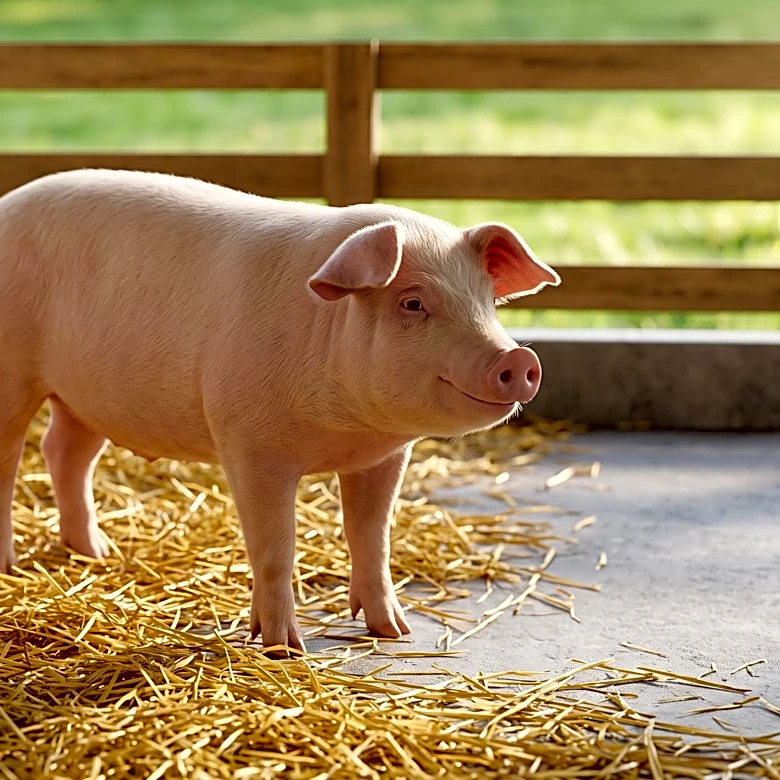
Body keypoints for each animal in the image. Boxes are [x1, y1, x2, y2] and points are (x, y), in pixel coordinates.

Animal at [0, 169, 559, 652]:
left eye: (488, 302)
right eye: (413, 303)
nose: (518, 358)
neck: (345, 429)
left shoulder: (384, 456)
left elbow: (372, 539)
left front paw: (394, 632)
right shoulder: (249, 442)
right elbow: (275, 548)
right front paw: (284, 649)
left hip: (85, 397)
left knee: (64, 452)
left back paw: (95, 553)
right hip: (13, 375)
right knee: (13, 463)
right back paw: (11, 566)